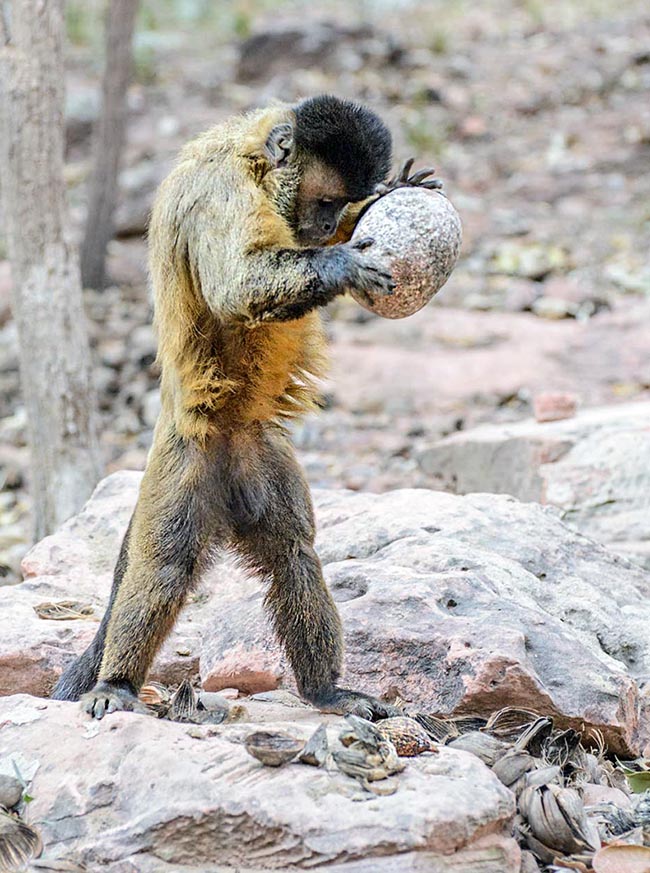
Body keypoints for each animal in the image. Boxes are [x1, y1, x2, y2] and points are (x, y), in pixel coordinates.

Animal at [53, 92, 440, 720]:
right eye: (325, 201)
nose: (329, 224)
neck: (253, 159)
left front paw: (387, 196)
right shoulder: (223, 191)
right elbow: (237, 285)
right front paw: (340, 265)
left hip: (260, 458)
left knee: (293, 557)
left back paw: (325, 691)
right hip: (185, 457)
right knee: (164, 564)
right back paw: (117, 684)